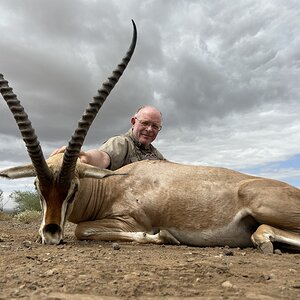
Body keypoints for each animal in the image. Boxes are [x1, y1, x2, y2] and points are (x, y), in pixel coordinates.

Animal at [0, 21, 300, 253]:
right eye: (37, 187)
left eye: (73, 188)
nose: (50, 234)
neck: (112, 186)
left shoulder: (129, 221)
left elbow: (82, 230)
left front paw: (164, 235)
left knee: (262, 230)